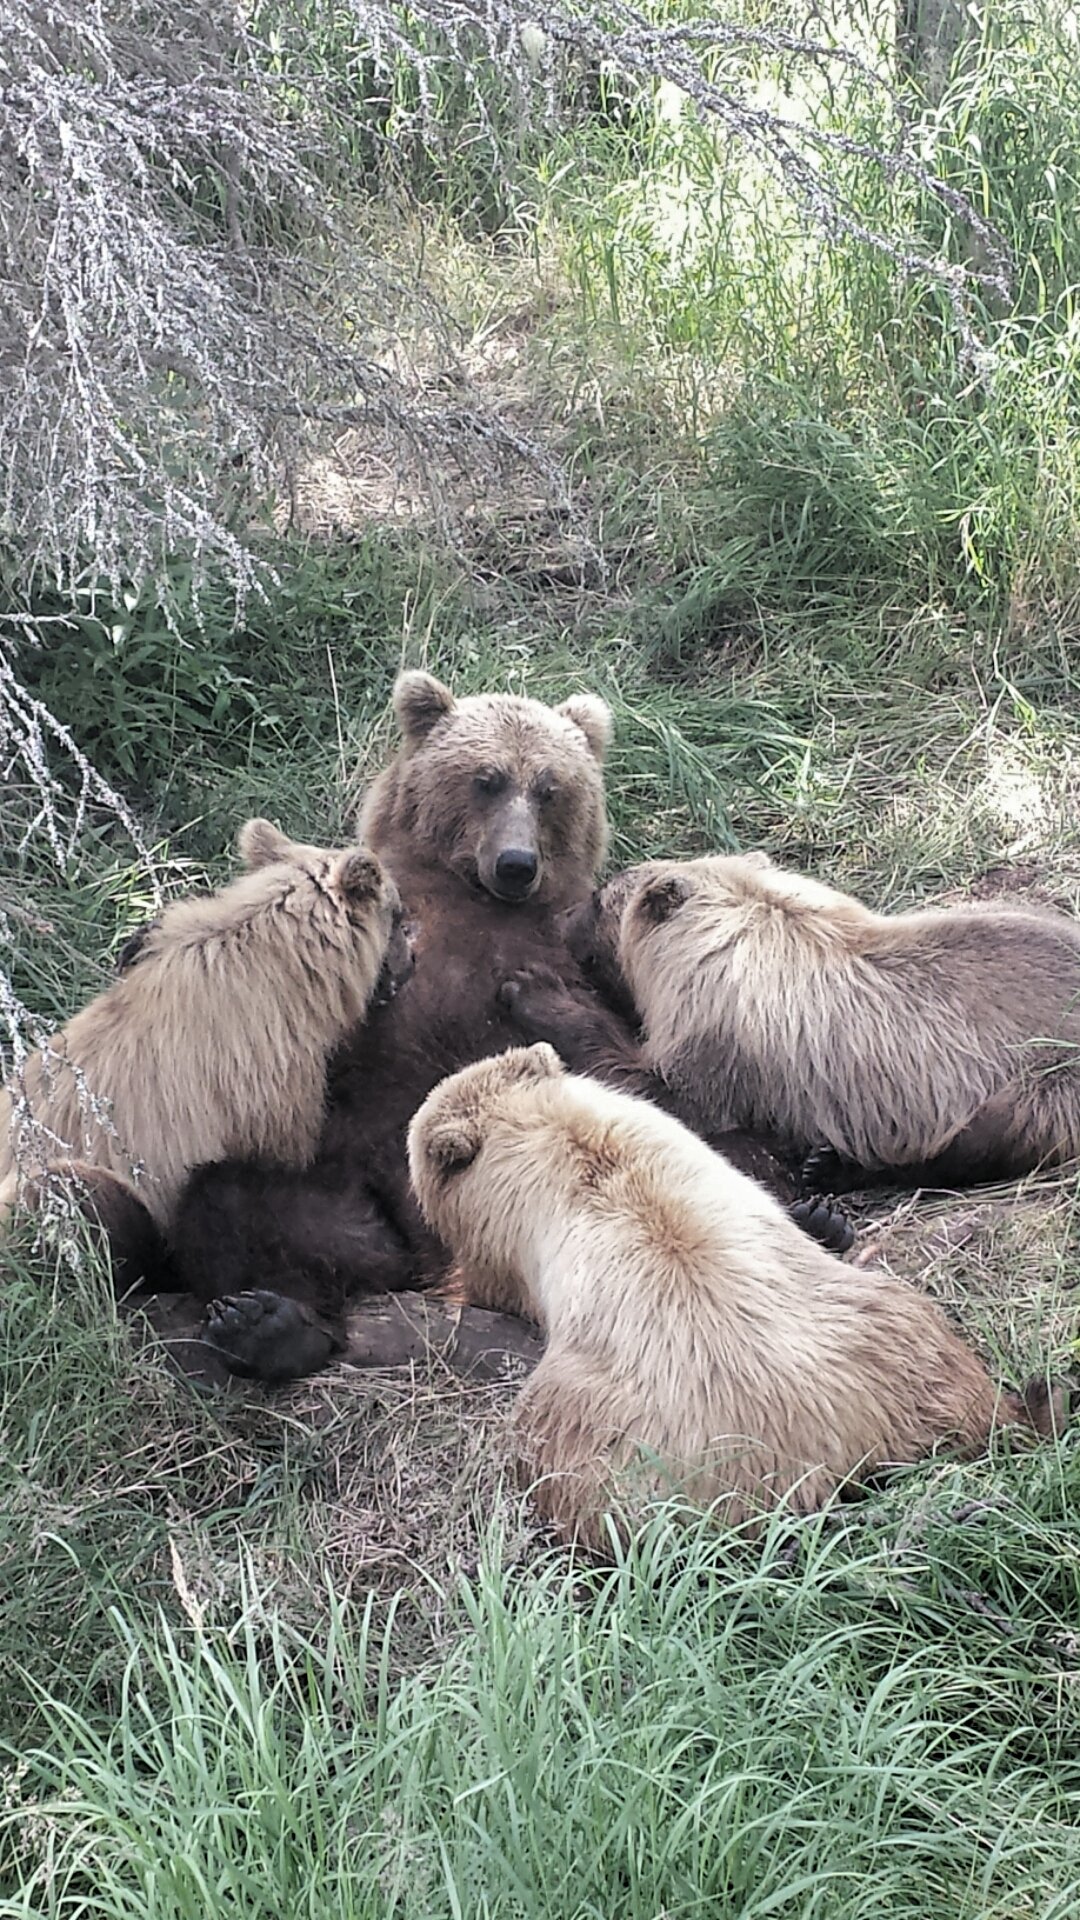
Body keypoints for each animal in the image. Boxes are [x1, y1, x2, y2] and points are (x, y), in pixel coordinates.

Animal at [185, 673, 852, 1386]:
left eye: (550, 788)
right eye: (487, 779)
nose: (515, 863)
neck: (476, 904)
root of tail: (453, 1269)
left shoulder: (583, 954)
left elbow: (633, 1069)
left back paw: (815, 1211)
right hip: (358, 1206)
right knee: (237, 1198)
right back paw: (268, 1322)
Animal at [407, 1044, 1059, 1553]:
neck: (549, 1131)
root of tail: (820, 1457)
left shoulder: (503, 1238)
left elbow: (492, 1286)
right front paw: (819, 1219)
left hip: (616, 1440)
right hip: (894, 1334)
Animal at [554, 851, 1080, 1194]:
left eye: (599, 898)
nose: (566, 918)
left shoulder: (721, 1044)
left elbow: (665, 1095)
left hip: (1046, 1078)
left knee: (982, 1138)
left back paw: (834, 1167)